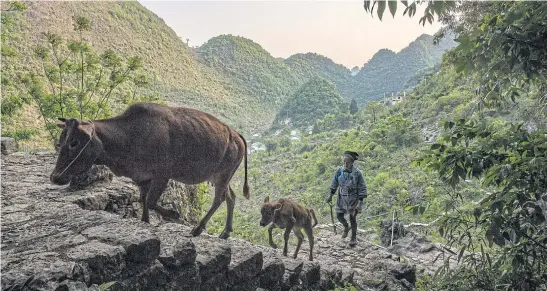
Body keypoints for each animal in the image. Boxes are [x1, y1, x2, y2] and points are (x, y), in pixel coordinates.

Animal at [49, 102, 250, 240]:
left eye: (74, 142)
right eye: (61, 140)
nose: (55, 177)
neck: (129, 137)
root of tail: (236, 134)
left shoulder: (162, 175)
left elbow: (152, 202)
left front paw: (174, 215)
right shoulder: (142, 177)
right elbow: (144, 200)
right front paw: (145, 221)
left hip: (223, 175)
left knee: (219, 199)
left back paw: (198, 229)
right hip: (220, 177)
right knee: (231, 197)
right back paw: (225, 232)